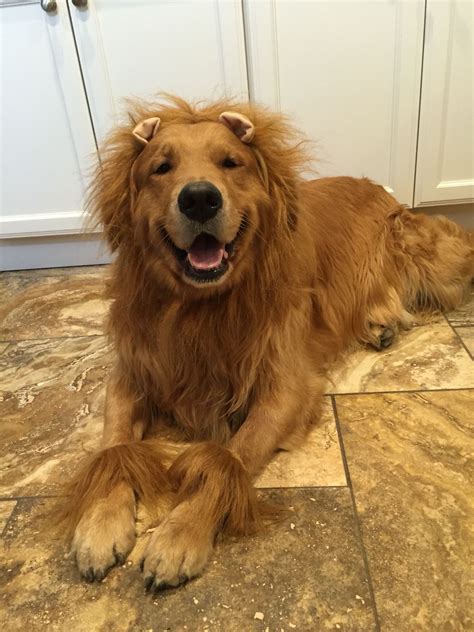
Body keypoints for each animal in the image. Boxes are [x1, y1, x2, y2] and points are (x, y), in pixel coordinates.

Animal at [60, 96, 474, 592]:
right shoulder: (132, 374)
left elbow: (228, 459)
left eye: (230, 162)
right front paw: (100, 524)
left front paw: (179, 534)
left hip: (427, 252)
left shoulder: (286, 386)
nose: (199, 198)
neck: (200, 308)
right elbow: (114, 448)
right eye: (161, 167)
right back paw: (381, 324)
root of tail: (379, 186)